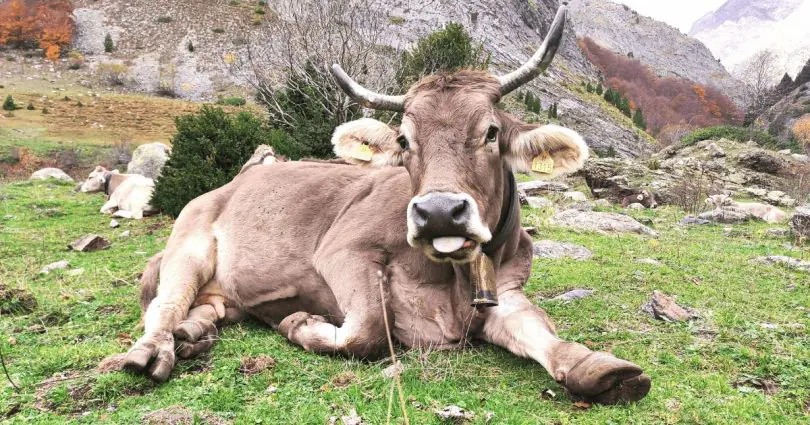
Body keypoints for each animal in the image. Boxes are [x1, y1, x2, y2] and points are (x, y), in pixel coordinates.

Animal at [117, 7, 651, 405]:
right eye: (404, 140)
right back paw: (156, 350)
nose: (439, 212)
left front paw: (600, 369)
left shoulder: (507, 292)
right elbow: (370, 329)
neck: (451, 282)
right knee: (164, 306)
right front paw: (300, 323)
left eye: (491, 132)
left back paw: (193, 335)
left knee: (204, 309)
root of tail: (226, 184)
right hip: (188, 245)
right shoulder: (343, 251)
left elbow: (543, 331)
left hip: (222, 296)